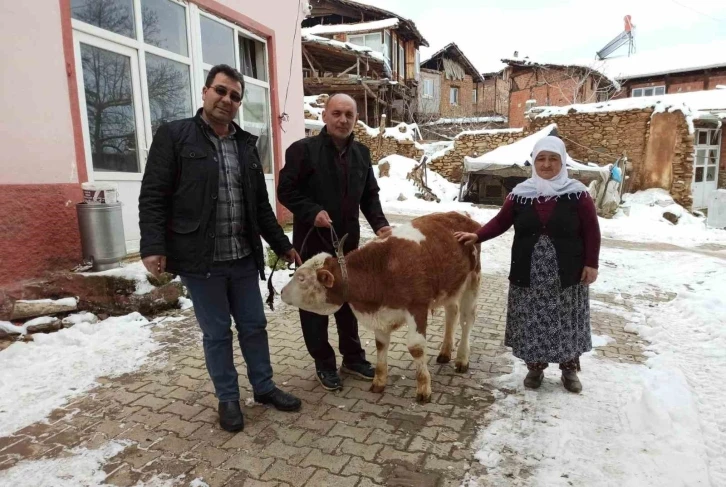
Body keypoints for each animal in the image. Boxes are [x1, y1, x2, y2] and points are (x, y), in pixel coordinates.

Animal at [282, 214, 480, 404]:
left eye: (301, 278)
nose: (282, 292)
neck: (382, 267)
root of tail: (462, 216)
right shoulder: (380, 314)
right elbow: (381, 345)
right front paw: (379, 382)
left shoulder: (417, 307)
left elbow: (416, 348)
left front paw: (424, 389)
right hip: (451, 287)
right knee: (452, 313)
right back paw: (445, 352)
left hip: (472, 279)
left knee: (466, 320)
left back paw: (462, 359)